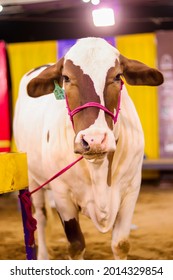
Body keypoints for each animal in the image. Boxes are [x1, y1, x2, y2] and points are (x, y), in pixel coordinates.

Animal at [13, 37, 164, 260]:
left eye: (117, 76)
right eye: (66, 78)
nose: (94, 140)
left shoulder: (131, 189)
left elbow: (121, 244)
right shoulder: (62, 195)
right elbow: (76, 245)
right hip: (32, 180)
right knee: (39, 217)